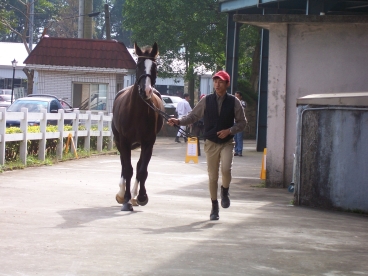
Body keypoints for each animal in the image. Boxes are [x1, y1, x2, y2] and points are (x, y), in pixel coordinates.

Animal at [111, 42, 165, 211]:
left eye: (154, 67)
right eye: (139, 65)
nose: (146, 90)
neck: (136, 112)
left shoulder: (148, 142)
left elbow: (142, 170)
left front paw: (140, 197)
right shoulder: (124, 141)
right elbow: (127, 170)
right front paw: (126, 199)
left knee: (138, 165)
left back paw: (134, 195)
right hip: (119, 141)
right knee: (124, 165)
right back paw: (122, 194)